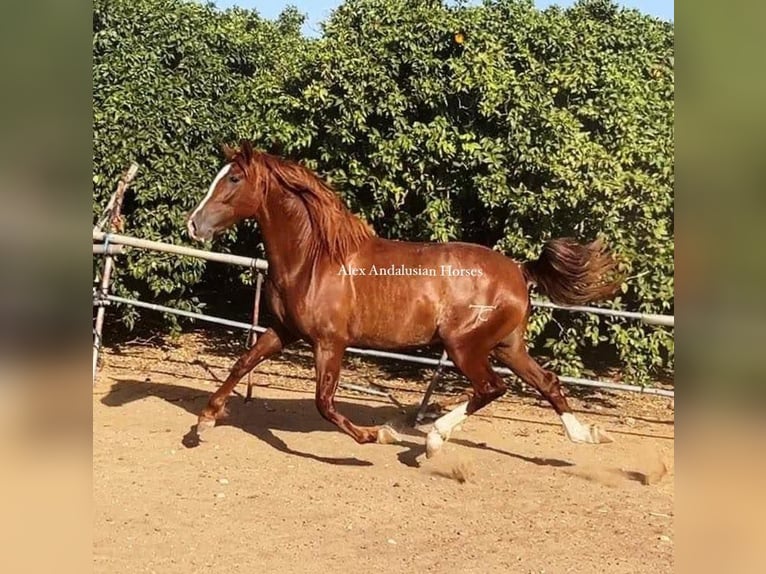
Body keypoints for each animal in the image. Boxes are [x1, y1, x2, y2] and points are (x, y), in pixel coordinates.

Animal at [189, 141, 620, 460]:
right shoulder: (283, 330)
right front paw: (204, 422)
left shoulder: (330, 343)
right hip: (506, 345)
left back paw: (431, 439)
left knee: (491, 388)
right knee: (546, 382)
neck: (314, 261)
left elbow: (324, 403)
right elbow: (242, 363)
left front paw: (381, 435)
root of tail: (519, 270)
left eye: (234, 178)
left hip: (464, 346)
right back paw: (588, 435)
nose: (193, 224)